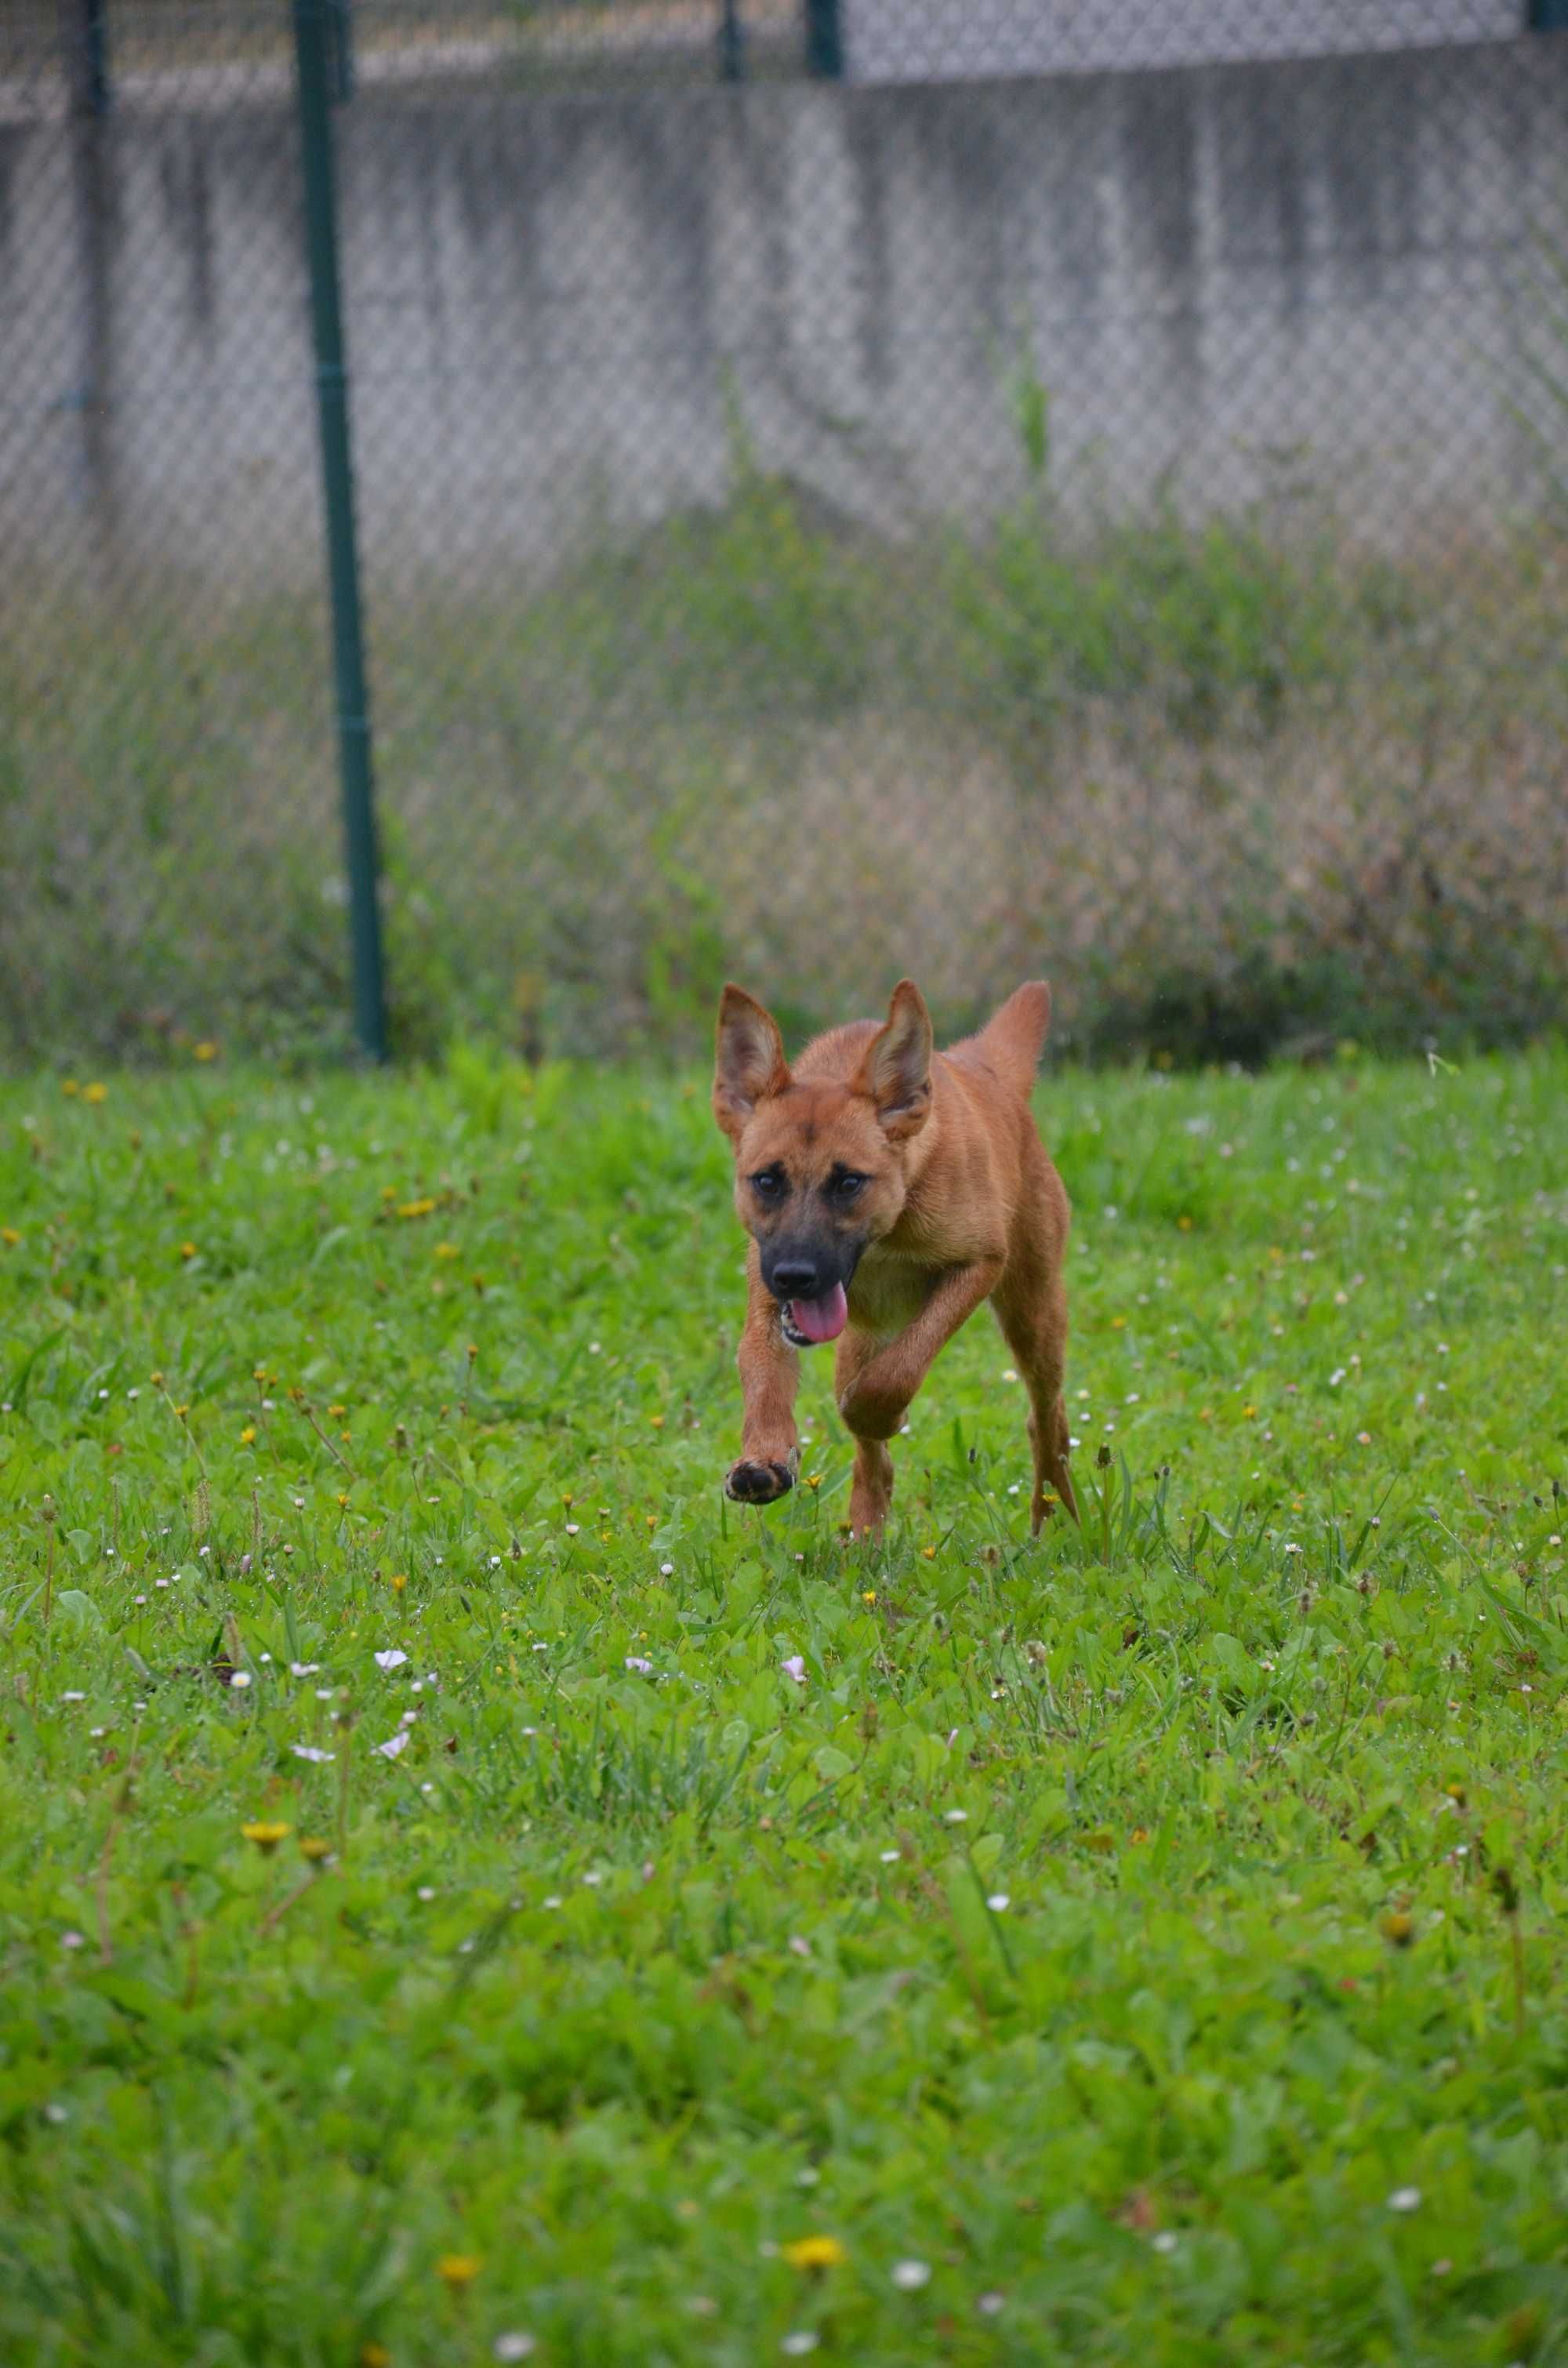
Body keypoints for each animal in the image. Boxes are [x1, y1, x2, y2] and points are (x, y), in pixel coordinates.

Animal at [715, 975, 1075, 1534]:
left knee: (1047, 1420)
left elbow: (899, 1371)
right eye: (768, 1181)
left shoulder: (979, 1264)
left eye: (848, 1183)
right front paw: (765, 1456)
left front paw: (878, 1413)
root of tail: (991, 1074)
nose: (796, 1276)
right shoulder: (767, 1291)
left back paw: (1057, 1521)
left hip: (1032, 1315)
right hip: (858, 1340)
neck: (889, 1230)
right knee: (873, 1464)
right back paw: (866, 1533)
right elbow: (760, 1367)